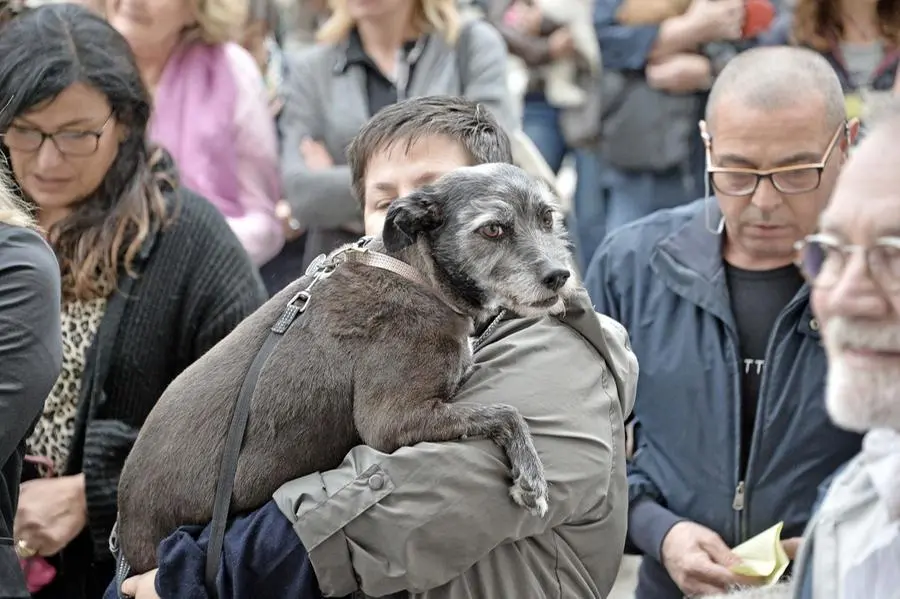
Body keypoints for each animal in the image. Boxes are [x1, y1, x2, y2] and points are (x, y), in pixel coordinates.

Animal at [118, 163, 576, 572]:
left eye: (547, 217)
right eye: (493, 229)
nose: (559, 276)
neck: (419, 275)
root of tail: (122, 523)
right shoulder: (390, 421)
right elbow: (507, 411)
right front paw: (531, 478)